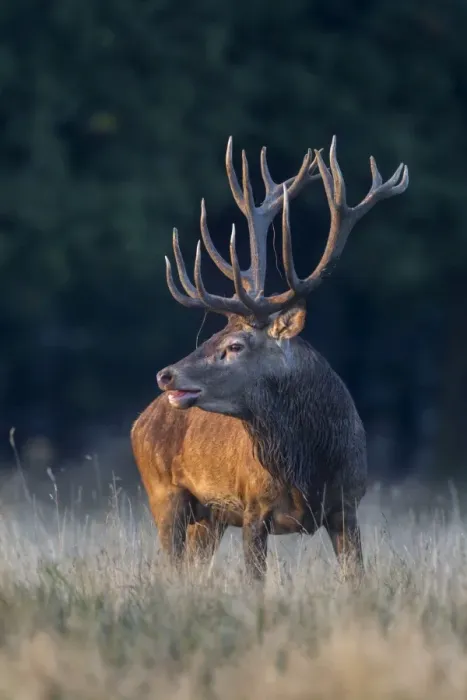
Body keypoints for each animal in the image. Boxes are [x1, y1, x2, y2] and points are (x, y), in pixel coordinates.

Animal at [131, 135, 409, 583]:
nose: (166, 375)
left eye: (234, 345)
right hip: (164, 495)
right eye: (214, 334)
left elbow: (356, 578)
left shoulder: (348, 504)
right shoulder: (252, 506)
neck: (309, 467)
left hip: (206, 518)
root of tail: (140, 421)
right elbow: (254, 581)